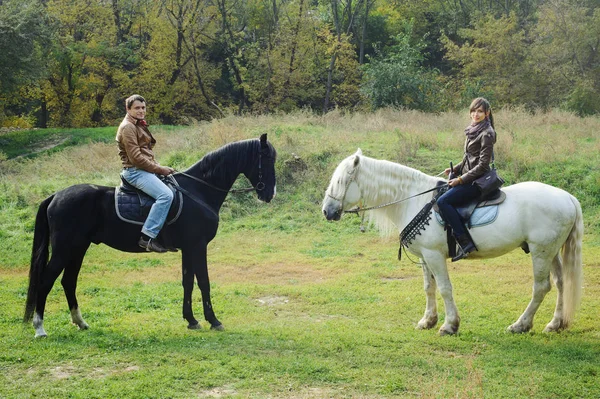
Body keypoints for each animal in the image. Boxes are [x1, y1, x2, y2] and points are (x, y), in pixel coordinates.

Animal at [23, 134, 276, 338]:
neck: (198, 191)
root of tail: (56, 195)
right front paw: (213, 321)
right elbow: (203, 282)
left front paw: (191, 320)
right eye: (266, 159)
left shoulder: (188, 248)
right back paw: (40, 328)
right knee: (46, 281)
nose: (270, 194)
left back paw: (80, 323)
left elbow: (187, 282)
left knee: (68, 281)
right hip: (65, 249)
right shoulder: (198, 245)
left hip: (78, 248)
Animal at [322, 150, 584, 338]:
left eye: (341, 181)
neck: (413, 199)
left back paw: (521, 324)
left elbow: (445, 288)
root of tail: (568, 197)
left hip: (540, 252)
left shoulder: (434, 255)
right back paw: (555, 323)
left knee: (541, 287)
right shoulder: (425, 257)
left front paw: (450, 325)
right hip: (551, 251)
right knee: (561, 283)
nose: (326, 211)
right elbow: (429, 287)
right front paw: (428, 320)